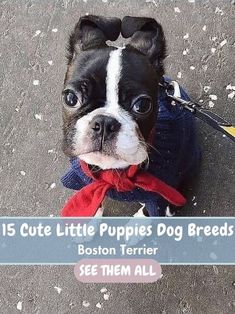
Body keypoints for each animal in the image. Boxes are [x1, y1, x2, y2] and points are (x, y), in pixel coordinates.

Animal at [60, 14, 200, 216]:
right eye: (70, 98)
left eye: (142, 105)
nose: (104, 123)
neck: (112, 172)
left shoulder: (161, 193)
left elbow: (150, 210)